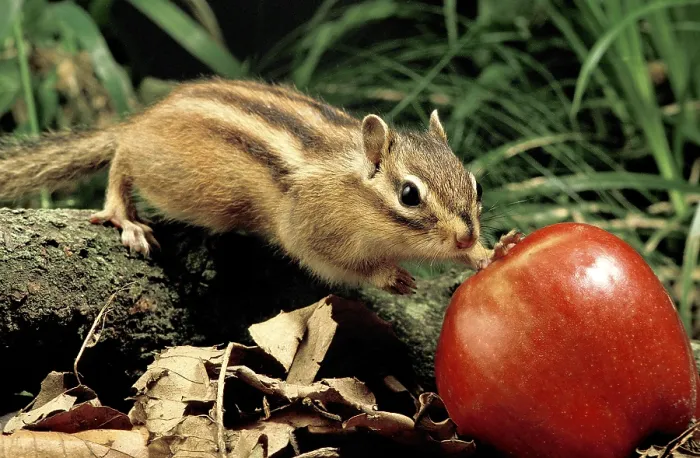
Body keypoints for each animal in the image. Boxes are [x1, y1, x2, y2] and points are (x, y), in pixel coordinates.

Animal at [0, 78, 520, 294]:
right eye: (409, 195)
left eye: (476, 186)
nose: (467, 236)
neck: (351, 184)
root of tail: (145, 118)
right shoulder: (311, 228)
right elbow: (330, 261)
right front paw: (389, 276)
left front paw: (490, 253)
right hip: (170, 174)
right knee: (122, 159)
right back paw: (123, 216)